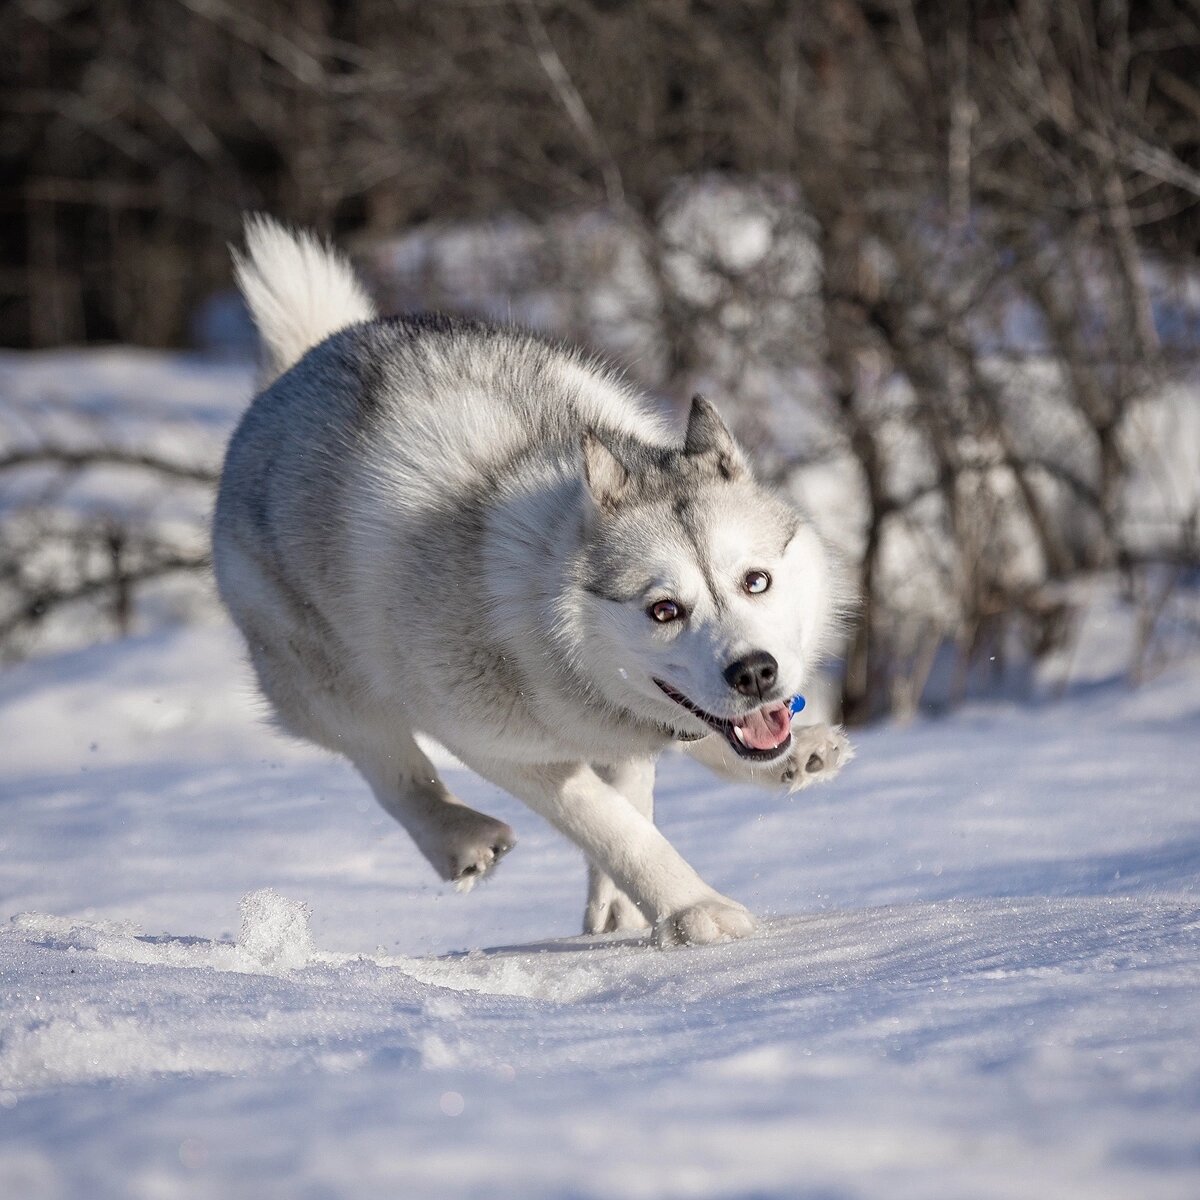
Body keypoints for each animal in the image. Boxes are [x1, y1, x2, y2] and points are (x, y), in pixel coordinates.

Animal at [216, 216, 854, 945]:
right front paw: (692, 909)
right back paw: (460, 838)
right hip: (330, 683)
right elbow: (614, 824)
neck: (534, 613)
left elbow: (637, 786)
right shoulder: (500, 745)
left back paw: (792, 758)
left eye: (755, 580)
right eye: (664, 610)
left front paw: (624, 909)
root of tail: (299, 366)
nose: (754, 673)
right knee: (391, 767)